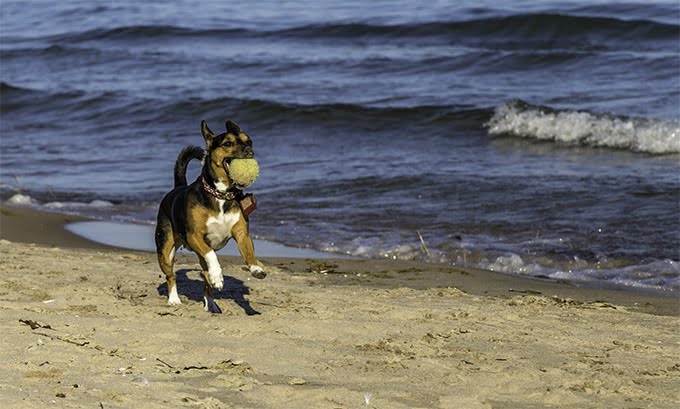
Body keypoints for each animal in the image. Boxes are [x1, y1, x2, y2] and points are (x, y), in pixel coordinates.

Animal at [156, 118, 266, 312]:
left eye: (249, 141)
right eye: (227, 143)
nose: (249, 151)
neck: (221, 195)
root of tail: (177, 188)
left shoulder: (242, 234)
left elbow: (249, 252)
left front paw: (255, 268)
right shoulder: (195, 236)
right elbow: (212, 255)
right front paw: (218, 275)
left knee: (206, 283)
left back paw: (211, 304)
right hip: (165, 250)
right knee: (171, 275)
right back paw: (174, 299)